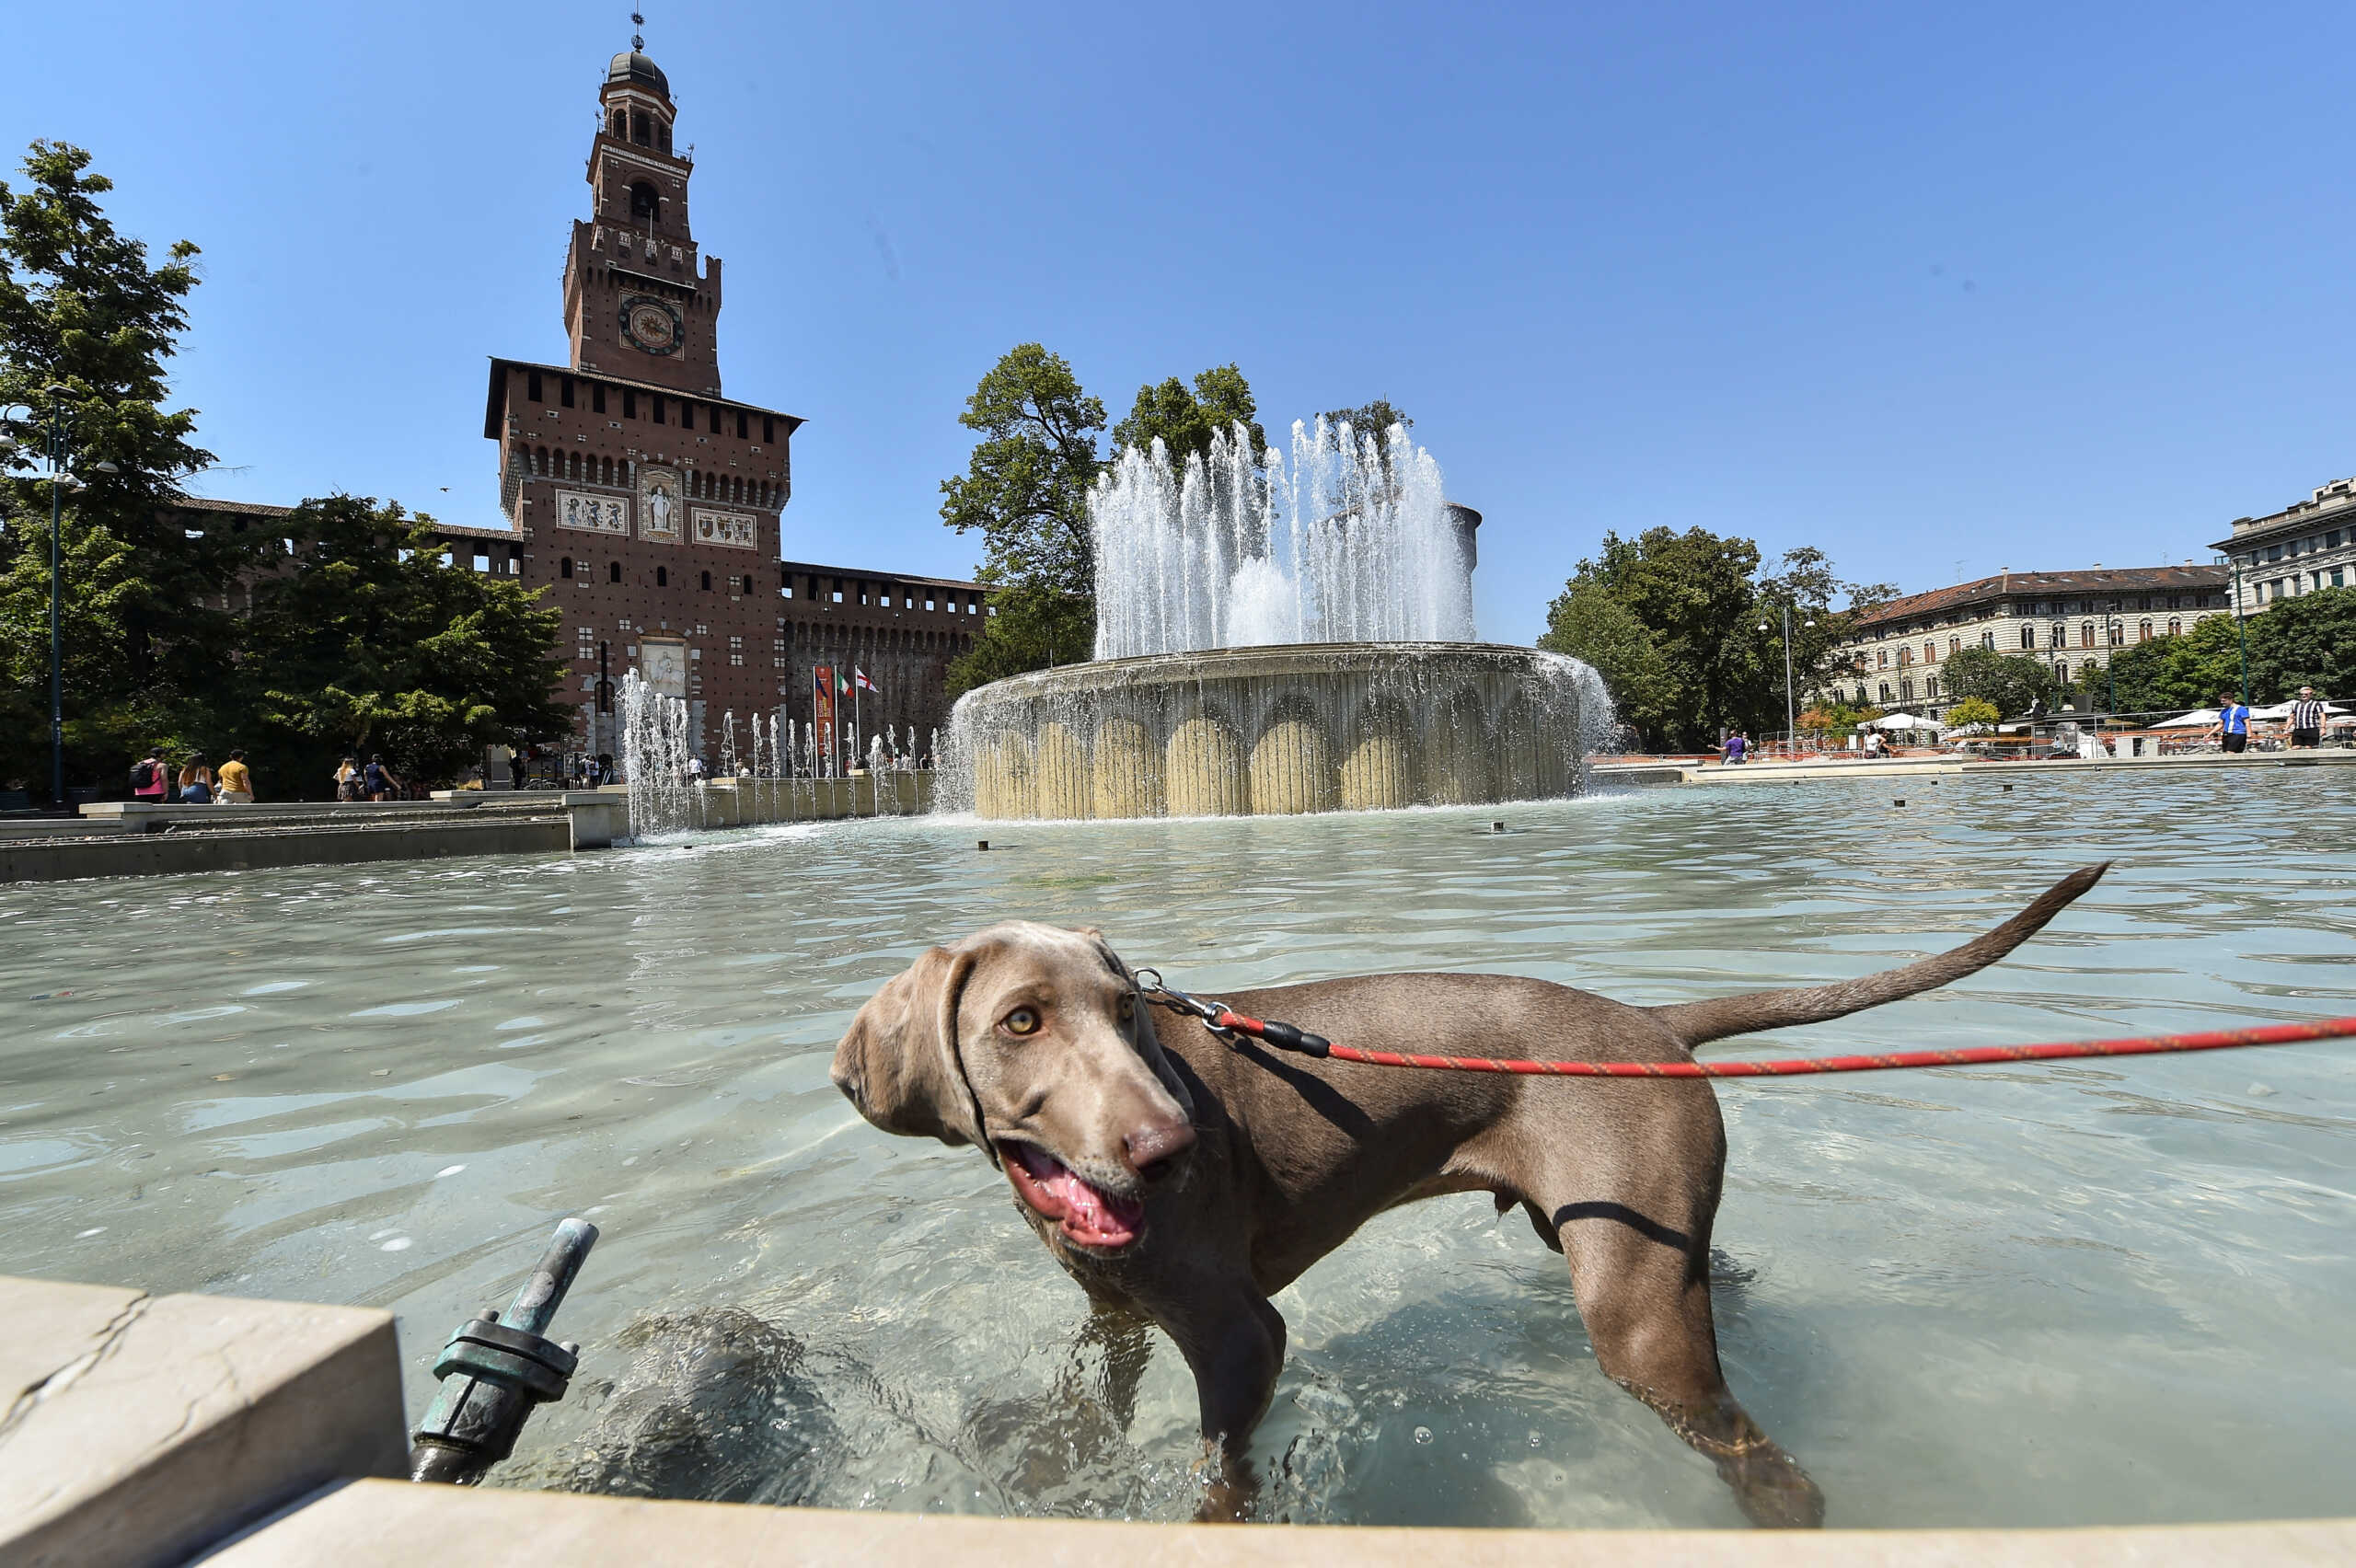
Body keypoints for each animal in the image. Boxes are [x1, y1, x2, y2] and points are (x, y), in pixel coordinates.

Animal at [838, 861, 2110, 1516]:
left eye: (1127, 1012)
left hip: (1629, 1312)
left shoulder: (1242, 1335)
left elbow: (1220, 1479)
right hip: (1625, 1234)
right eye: (1020, 1021)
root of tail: (1654, 1025)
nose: (1169, 1147)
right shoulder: (1116, 1313)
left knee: (1765, 1461)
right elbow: (1095, 1405)